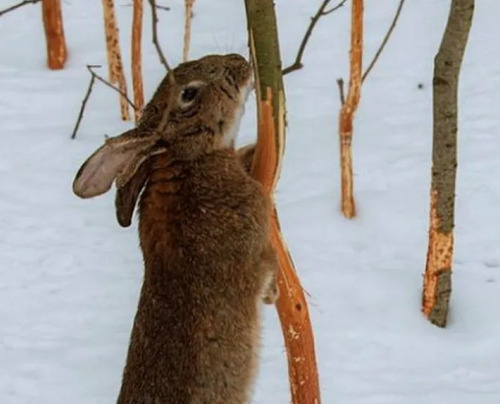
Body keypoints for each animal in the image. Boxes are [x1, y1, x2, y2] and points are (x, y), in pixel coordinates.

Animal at [73, 54, 280, 404]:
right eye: (189, 94)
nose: (239, 61)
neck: (183, 161)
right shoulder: (252, 251)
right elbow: (267, 267)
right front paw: (274, 294)